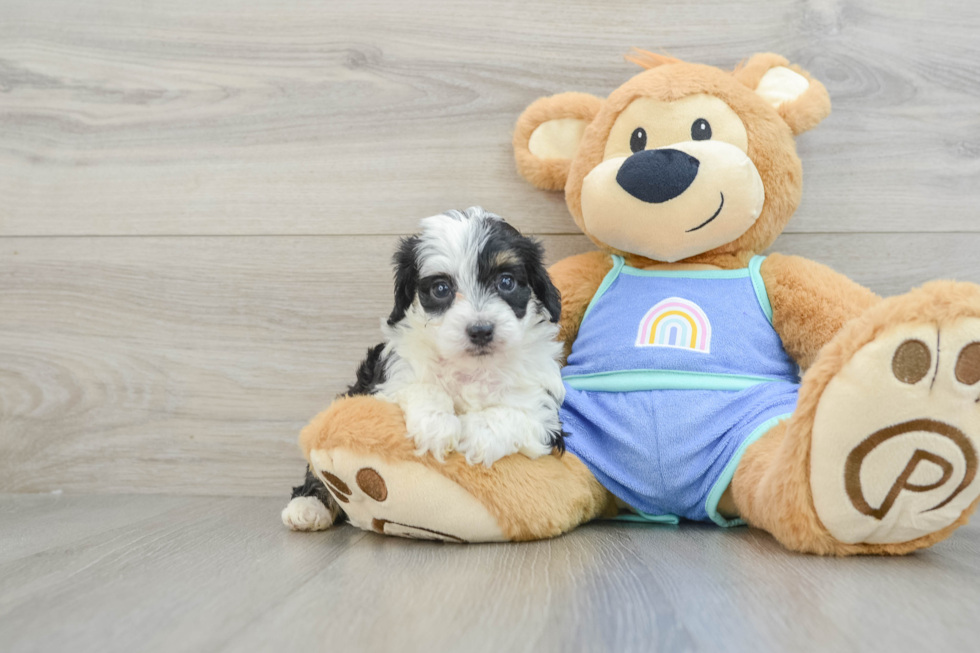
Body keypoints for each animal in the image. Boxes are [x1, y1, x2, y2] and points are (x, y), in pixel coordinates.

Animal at [280, 208, 564, 528]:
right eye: (441, 289)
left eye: (506, 282)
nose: (480, 330)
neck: (472, 367)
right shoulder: (387, 379)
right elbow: (420, 386)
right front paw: (437, 425)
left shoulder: (546, 418)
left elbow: (514, 414)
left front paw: (476, 434)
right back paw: (307, 506)